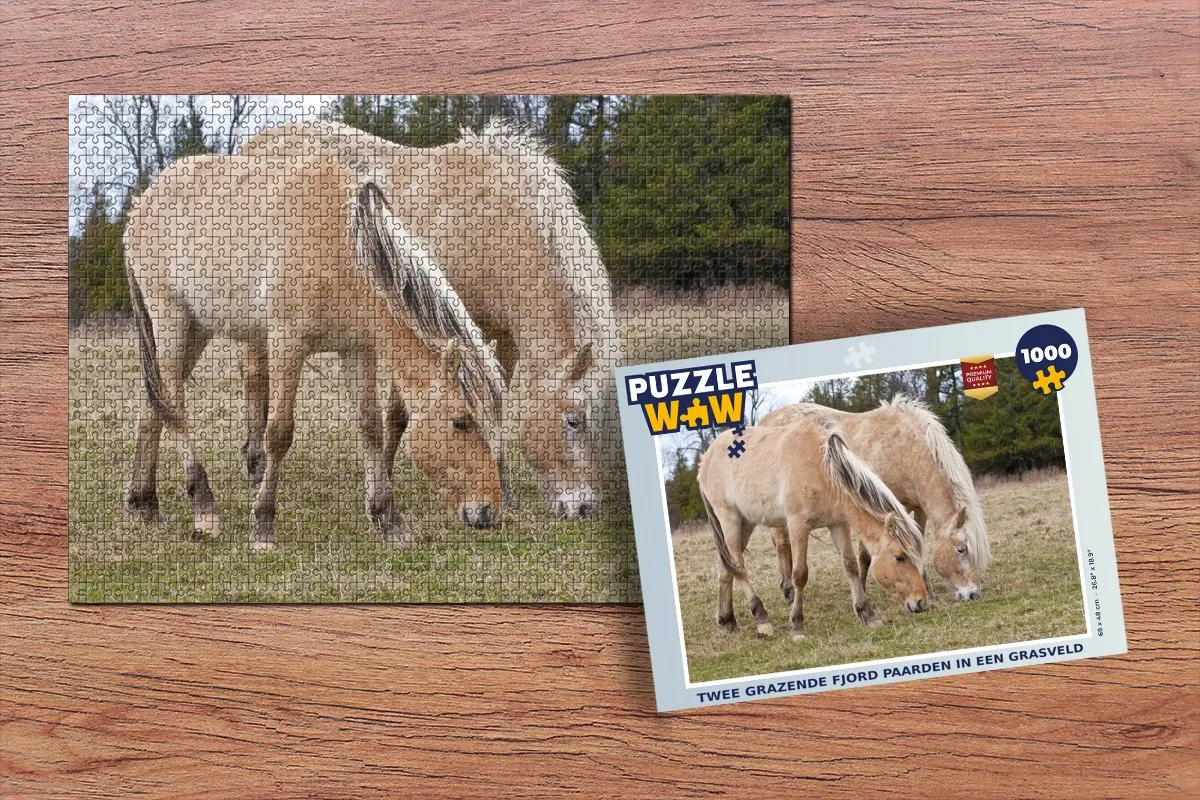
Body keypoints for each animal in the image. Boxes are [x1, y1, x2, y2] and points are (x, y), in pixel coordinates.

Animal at [122, 153, 507, 552]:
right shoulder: (286, 344)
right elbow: (279, 433)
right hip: (171, 322)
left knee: (154, 406)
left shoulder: (358, 351)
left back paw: (145, 502)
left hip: (197, 330)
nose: (487, 512)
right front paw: (262, 527)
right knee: (174, 408)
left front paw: (389, 520)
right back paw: (204, 510)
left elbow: (370, 428)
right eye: (460, 422)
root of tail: (141, 205)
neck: (341, 249)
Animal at [240, 120, 622, 519]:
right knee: (254, 376)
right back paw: (256, 462)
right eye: (574, 420)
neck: (490, 224)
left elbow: (493, 404)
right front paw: (385, 479)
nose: (585, 507)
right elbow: (398, 414)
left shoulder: (501, 338)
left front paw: (503, 489)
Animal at [696, 418, 929, 641]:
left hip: (746, 523)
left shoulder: (838, 524)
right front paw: (797, 627)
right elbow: (800, 574)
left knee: (725, 568)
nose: (921, 602)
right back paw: (762, 619)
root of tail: (705, 460)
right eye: (900, 557)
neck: (822, 471)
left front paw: (868, 615)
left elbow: (851, 566)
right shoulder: (798, 525)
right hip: (730, 519)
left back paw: (728, 620)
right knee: (738, 566)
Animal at [760, 397, 991, 602]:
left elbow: (917, 545)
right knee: (782, 544)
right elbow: (865, 556)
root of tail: (764, 422)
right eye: (961, 549)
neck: (905, 450)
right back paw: (789, 591)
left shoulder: (919, 509)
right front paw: (862, 590)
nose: (972, 594)